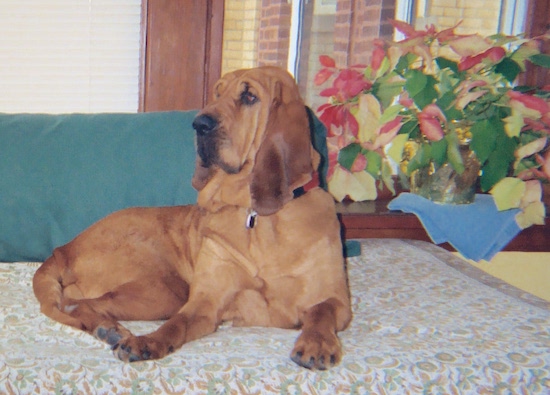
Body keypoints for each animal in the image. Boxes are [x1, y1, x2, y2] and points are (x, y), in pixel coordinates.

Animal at [33, 65, 354, 372]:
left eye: (249, 96)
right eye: (217, 93)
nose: (199, 124)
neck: (256, 217)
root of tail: (63, 249)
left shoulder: (338, 301)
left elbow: (321, 312)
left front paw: (316, 344)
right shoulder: (203, 302)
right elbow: (175, 325)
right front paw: (146, 342)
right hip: (166, 290)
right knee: (75, 304)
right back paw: (110, 330)